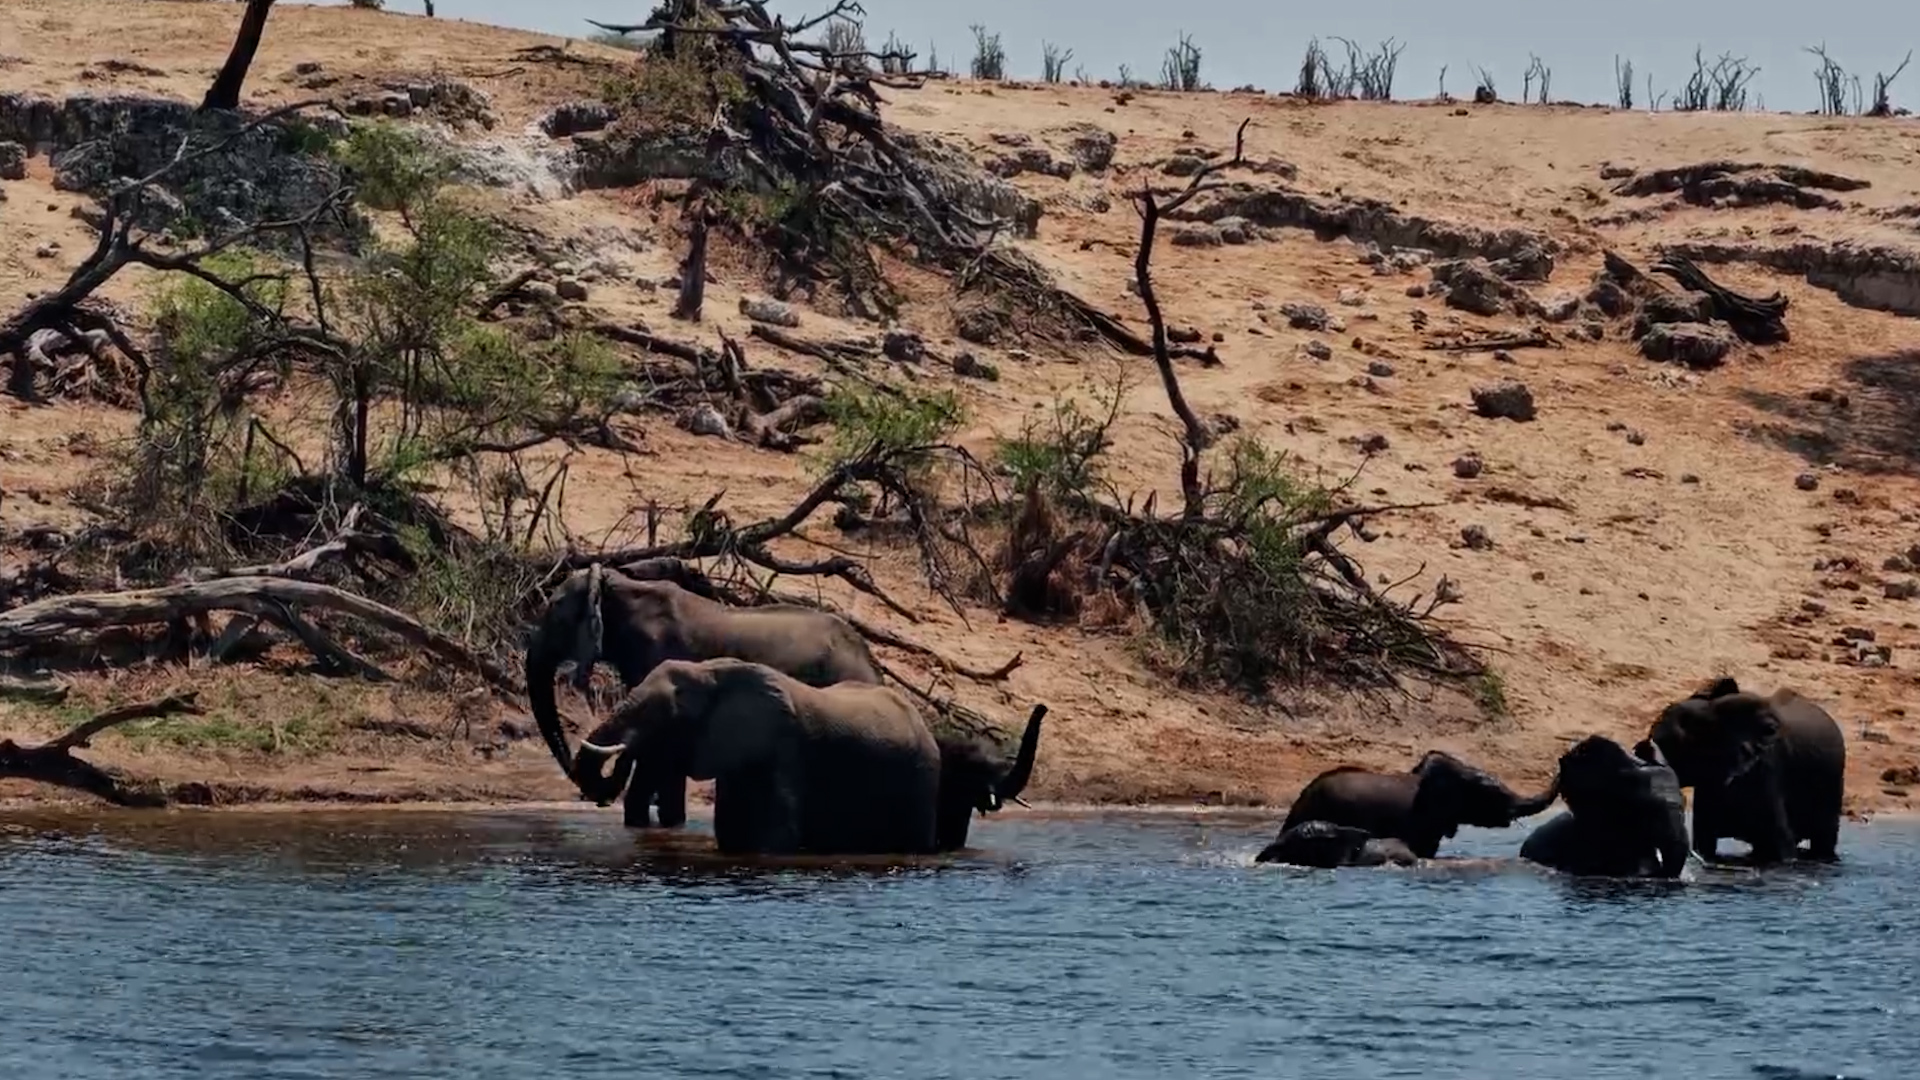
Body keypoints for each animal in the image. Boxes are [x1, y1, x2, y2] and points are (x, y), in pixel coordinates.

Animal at [566, 658, 1022, 855]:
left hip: (920, 776)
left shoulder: (785, 749)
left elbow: (777, 837)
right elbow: (731, 832)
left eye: (662, 712)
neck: (713, 669)